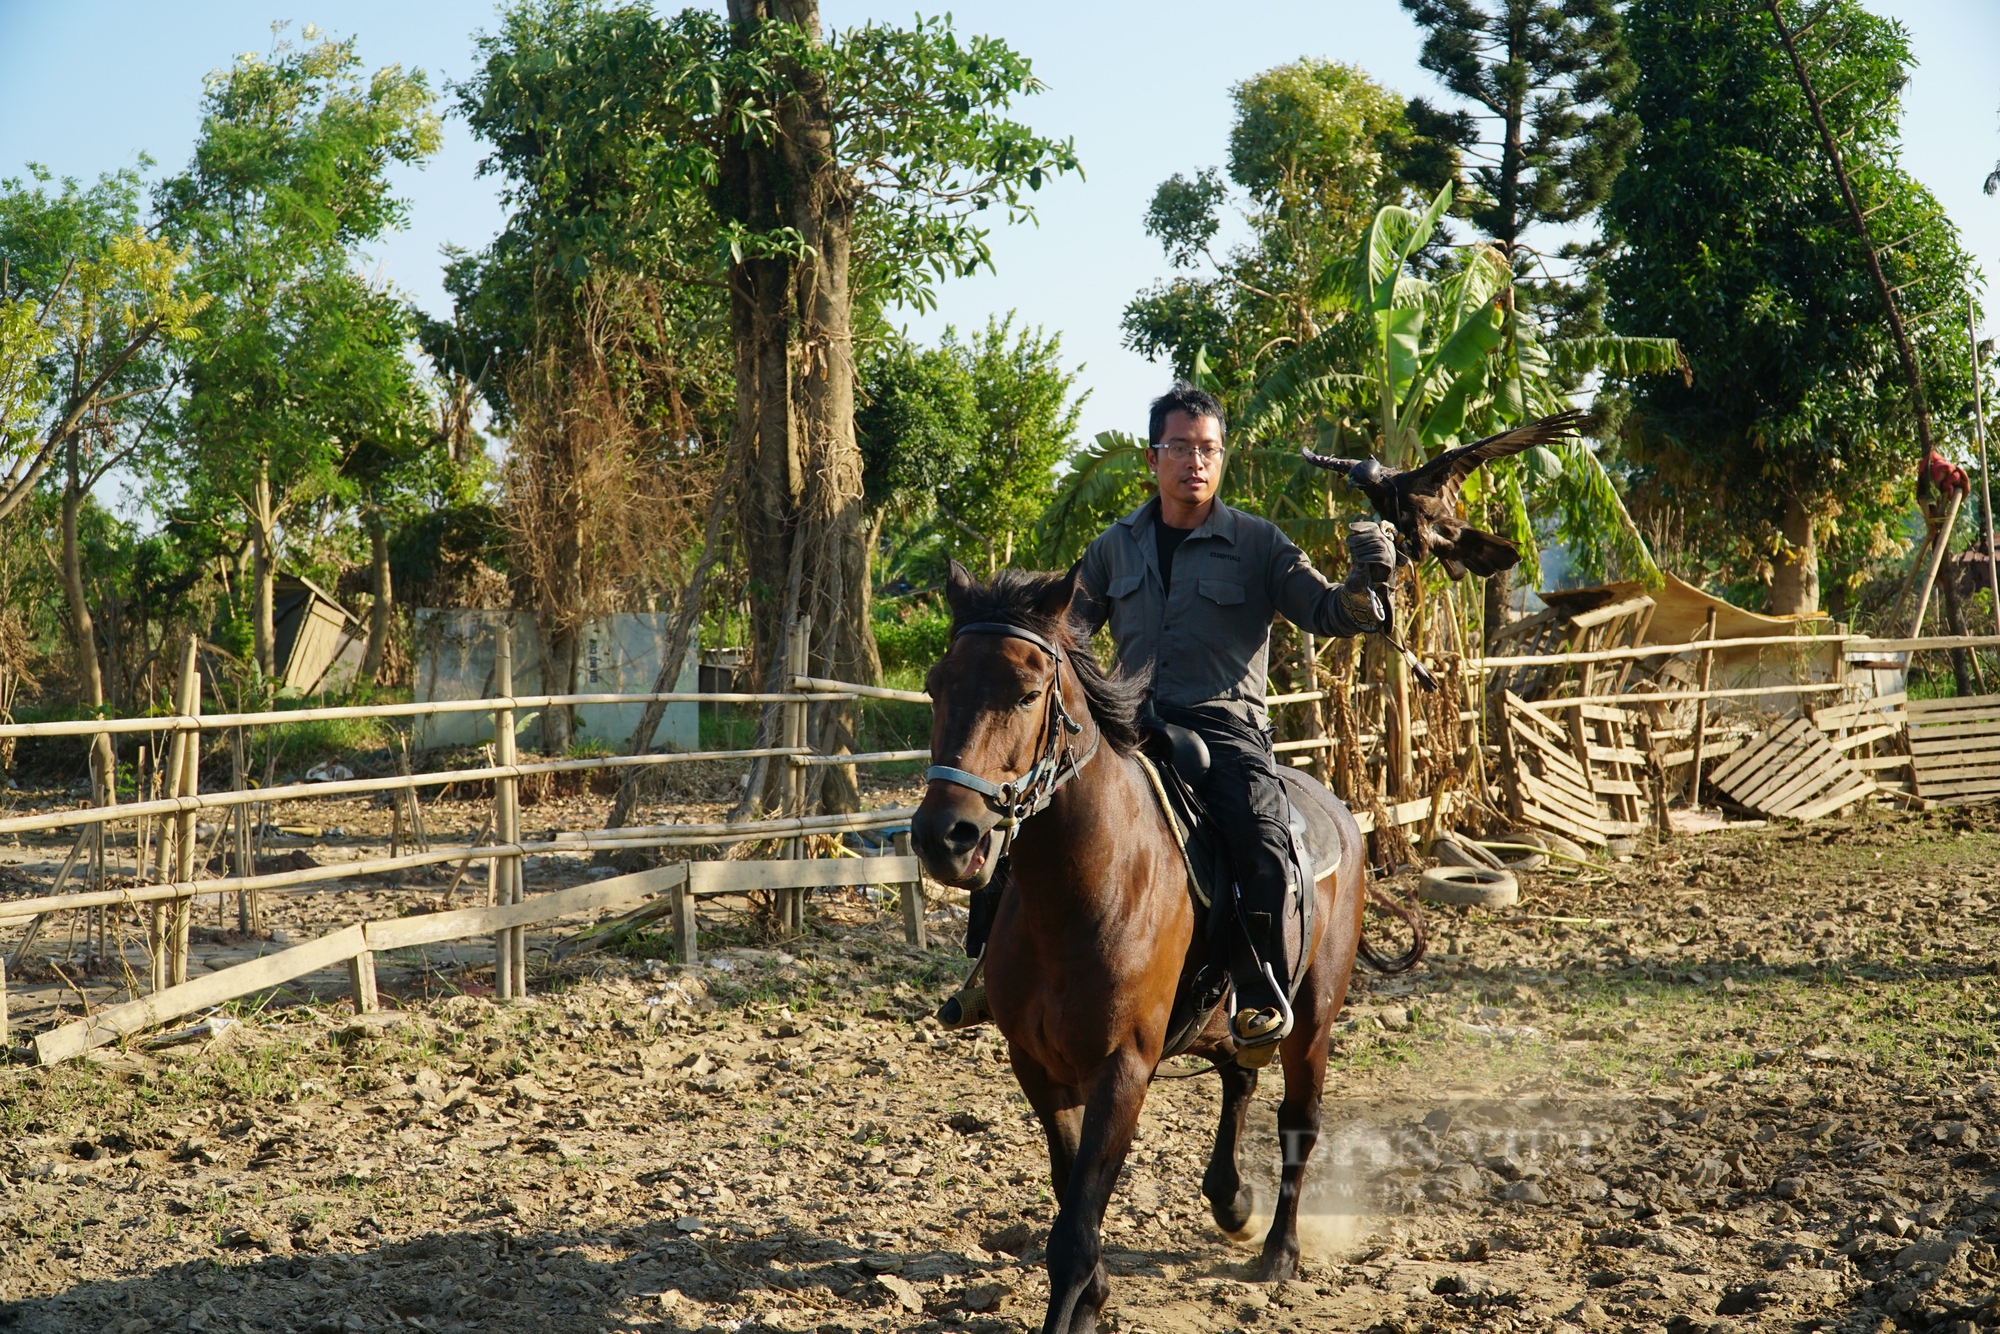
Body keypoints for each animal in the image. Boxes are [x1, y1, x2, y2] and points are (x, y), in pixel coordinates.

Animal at [916, 564, 1416, 1334]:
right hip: (1232, 1015)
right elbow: (1070, 1193)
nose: (945, 835)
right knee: (1239, 1078)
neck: (1087, 887)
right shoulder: (1037, 1066)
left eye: (1027, 693)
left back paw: (1278, 1252)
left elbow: (1075, 1228)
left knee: (1297, 1122)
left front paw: (1080, 1304)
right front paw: (1095, 1295)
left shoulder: (1122, 1070)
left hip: (1313, 1022)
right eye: (937, 686)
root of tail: (1340, 813)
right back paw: (1232, 1201)